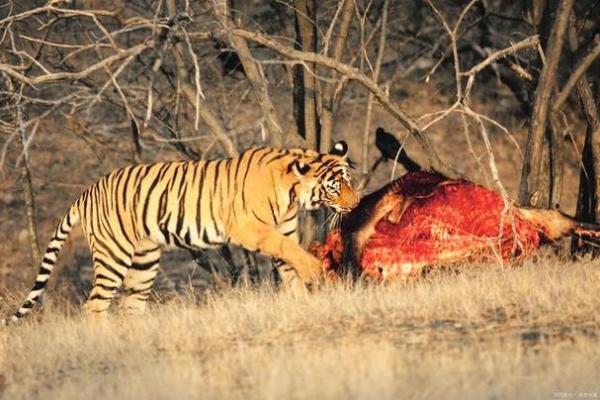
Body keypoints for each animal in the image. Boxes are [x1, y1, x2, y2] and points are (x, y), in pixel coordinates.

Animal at [3, 140, 356, 322]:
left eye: (349, 181)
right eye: (334, 187)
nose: (354, 204)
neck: (292, 194)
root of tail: (85, 193)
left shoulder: (283, 229)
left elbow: (289, 263)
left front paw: (303, 300)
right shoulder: (250, 227)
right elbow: (289, 252)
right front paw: (314, 271)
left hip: (144, 260)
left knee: (131, 304)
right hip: (113, 255)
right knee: (95, 304)